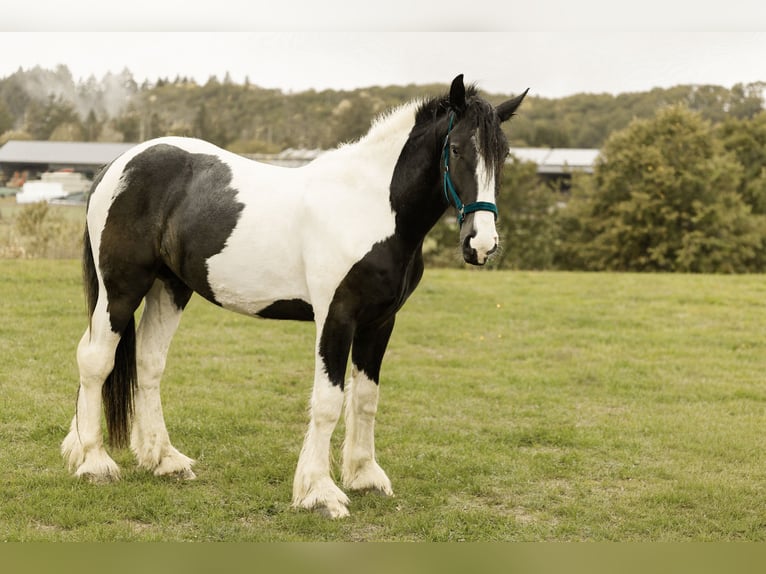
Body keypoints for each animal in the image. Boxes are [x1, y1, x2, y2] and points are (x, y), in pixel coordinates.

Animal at [61, 74, 527, 518]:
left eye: (502, 154)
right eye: (456, 149)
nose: (481, 244)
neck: (369, 207)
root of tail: (117, 165)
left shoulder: (379, 322)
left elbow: (366, 398)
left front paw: (364, 476)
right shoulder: (336, 317)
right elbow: (328, 402)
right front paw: (319, 493)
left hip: (169, 288)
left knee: (148, 363)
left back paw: (163, 459)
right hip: (120, 289)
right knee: (96, 360)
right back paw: (94, 462)